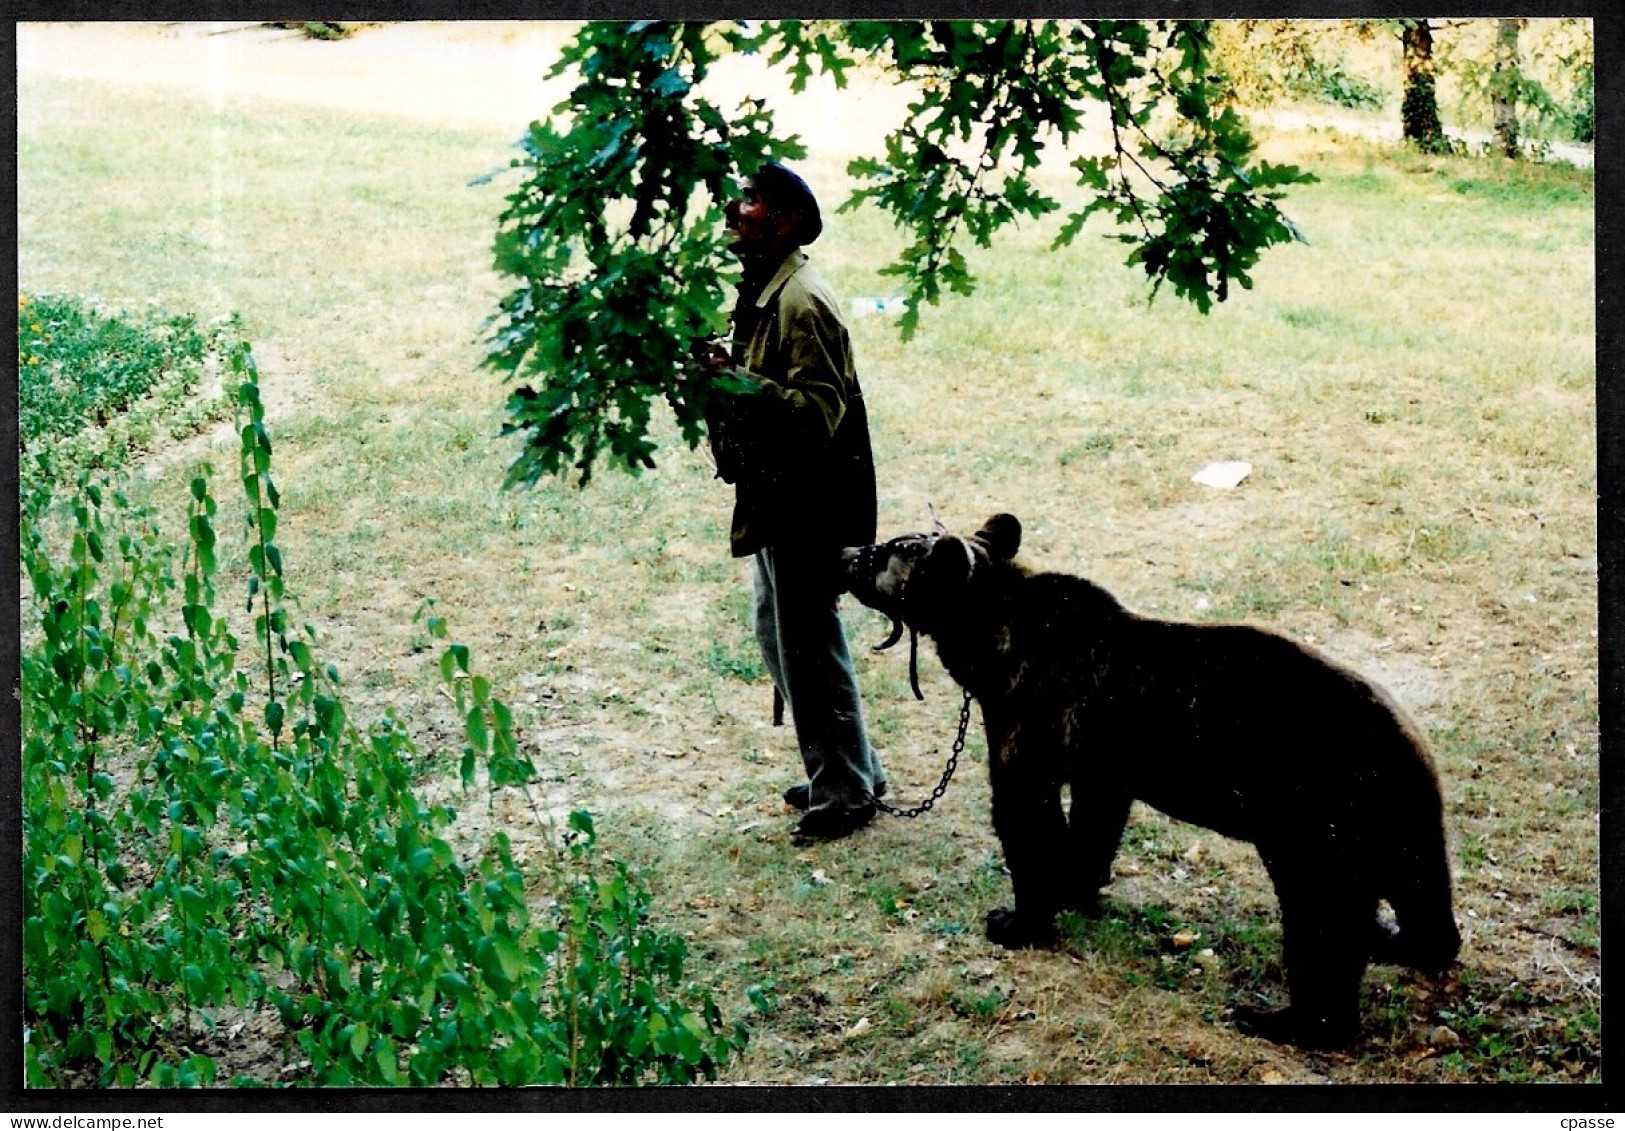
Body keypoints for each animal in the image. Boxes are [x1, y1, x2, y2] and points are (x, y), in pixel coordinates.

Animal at [838, 513, 1462, 1053]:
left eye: (889, 548)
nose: (845, 552)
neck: (986, 642)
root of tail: (1410, 750)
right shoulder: (1101, 761)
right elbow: (1094, 820)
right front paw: (1076, 885)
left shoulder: (1029, 715)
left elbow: (1024, 815)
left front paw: (1016, 920)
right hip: (1398, 826)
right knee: (1422, 893)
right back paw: (1399, 939)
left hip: (1316, 818)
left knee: (1321, 919)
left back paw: (1280, 1018)